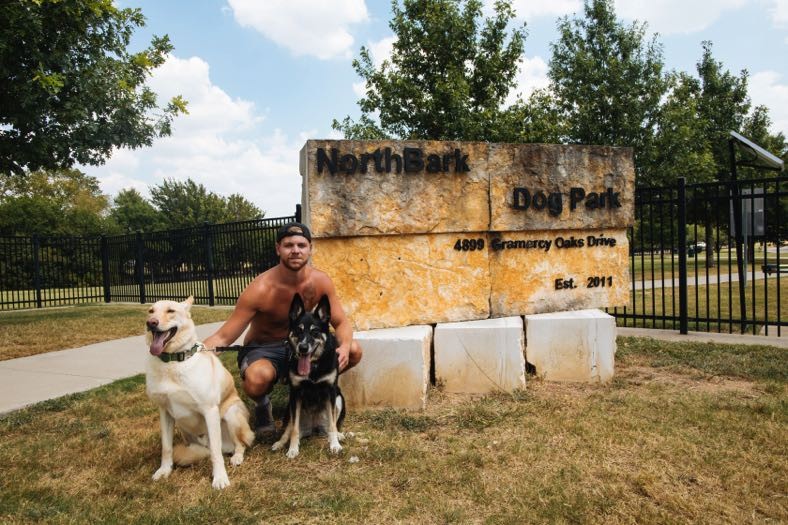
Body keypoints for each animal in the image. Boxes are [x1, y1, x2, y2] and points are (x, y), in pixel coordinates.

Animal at [143, 296, 251, 490]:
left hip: (232, 414)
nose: (151, 323)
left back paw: (237, 457)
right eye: (150, 311)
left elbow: (216, 453)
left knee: (240, 444)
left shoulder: (210, 411)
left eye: (170, 311)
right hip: (185, 429)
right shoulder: (165, 412)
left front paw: (220, 478)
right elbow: (166, 447)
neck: (173, 361)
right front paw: (164, 470)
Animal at [270, 292, 344, 456]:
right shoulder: (295, 393)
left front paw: (335, 444)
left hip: (339, 399)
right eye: (298, 330)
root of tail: (314, 427)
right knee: (290, 428)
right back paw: (280, 443)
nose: (302, 348)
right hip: (289, 409)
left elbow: (332, 424)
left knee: (332, 424)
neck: (314, 367)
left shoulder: (331, 391)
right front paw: (292, 449)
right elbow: (294, 429)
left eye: (314, 332)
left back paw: (339, 435)